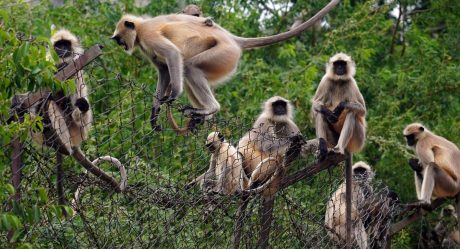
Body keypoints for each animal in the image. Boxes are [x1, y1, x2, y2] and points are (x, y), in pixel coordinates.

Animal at [111, 0, 342, 131]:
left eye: (120, 39)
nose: (122, 45)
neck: (141, 27)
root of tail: (233, 40)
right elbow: (164, 70)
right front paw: (155, 111)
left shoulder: (148, 35)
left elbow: (172, 55)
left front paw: (172, 95)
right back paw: (201, 115)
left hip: (224, 54)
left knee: (190, 68)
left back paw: (210, 109)